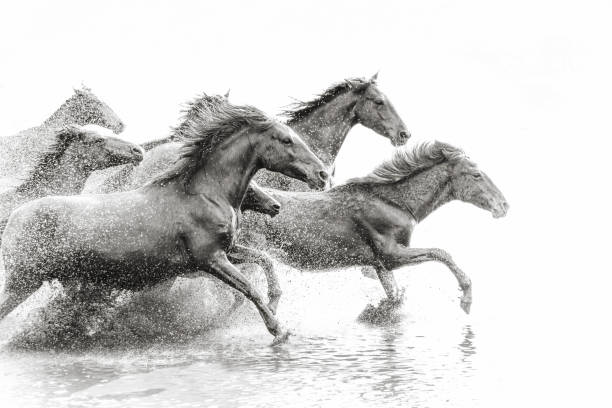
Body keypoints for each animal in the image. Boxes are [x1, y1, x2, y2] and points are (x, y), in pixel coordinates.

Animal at [241, 142, 510, 314]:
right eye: (475, 174)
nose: (504, 205)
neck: (395, 203)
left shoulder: (380, 265)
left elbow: (395, 296)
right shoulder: (391, 255)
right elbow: (440, 252)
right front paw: (466, 296)